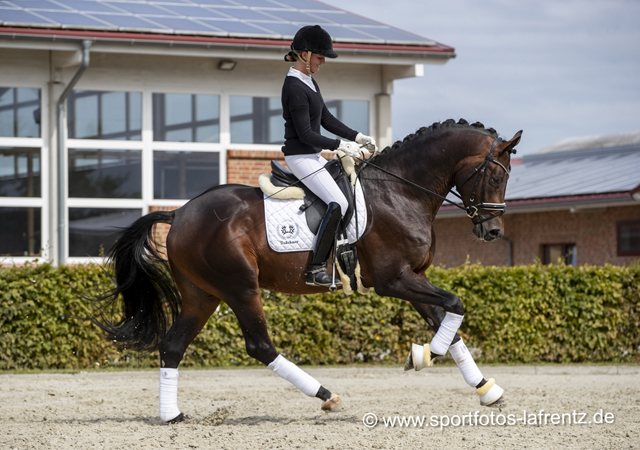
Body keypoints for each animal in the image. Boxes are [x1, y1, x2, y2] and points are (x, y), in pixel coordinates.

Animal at [94, 118, 520, 422]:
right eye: (497, 176)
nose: (493, 232)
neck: (401, 192)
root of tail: (179, 213)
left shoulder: (414, 277)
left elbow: (448, 322)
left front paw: (487, 389)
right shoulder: (394, 280)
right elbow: (456, 305)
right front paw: (421, 356)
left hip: (204, 295)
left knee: (172, 345)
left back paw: (171, 415)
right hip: (240, 288)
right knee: (260, 346)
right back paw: (326, 396)